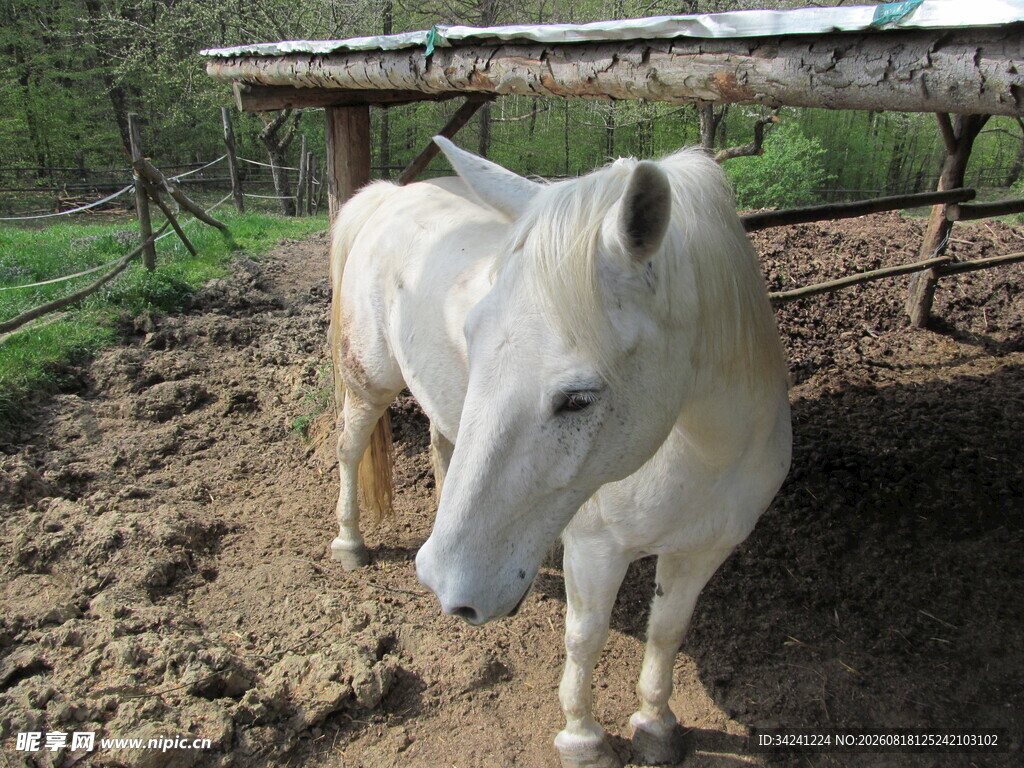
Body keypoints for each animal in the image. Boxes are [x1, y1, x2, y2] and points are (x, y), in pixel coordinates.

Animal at [327, 138, 792, 768]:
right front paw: (583, 737)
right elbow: (586, 637)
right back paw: (350, 543)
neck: (709, 455)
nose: (445, 585)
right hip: (369, 382)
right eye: (473, 336)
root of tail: (390, 195)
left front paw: (655, 723)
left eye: (579, 399)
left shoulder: (703, 549)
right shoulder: (596, 549)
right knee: (350, 449)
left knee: (441, 443)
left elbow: (668, 632)